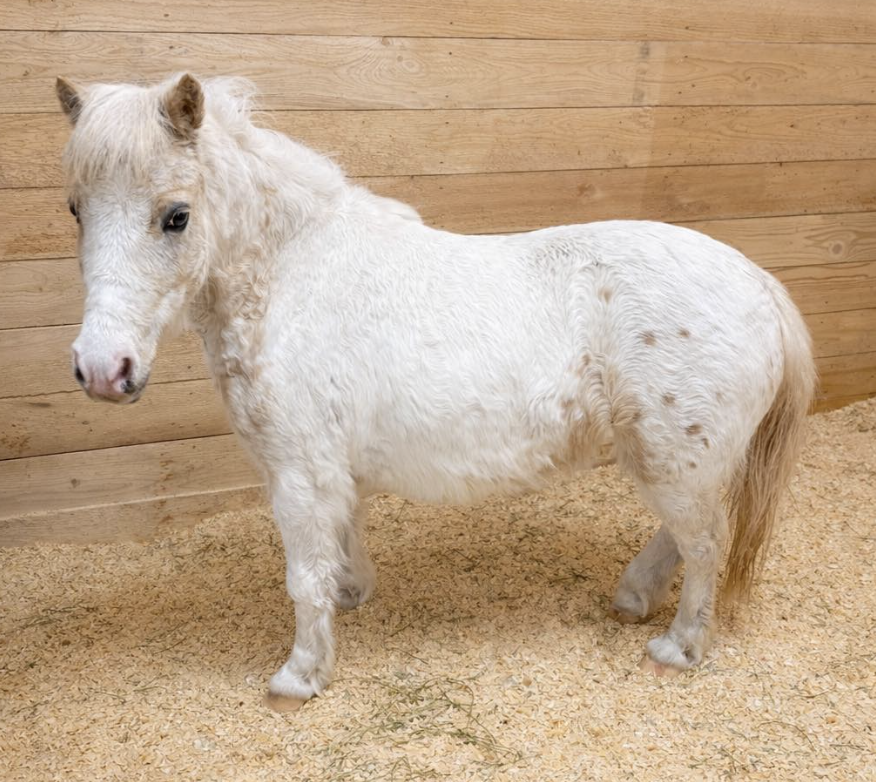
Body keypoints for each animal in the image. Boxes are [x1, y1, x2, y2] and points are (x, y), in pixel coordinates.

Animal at [56, 73, 816, 711]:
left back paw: (679, 645)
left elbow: (303, 577)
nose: (103, 368)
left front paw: (301, 676)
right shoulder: (331, 469)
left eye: (176, 216)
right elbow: (342, 541)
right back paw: (634, 597)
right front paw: (352, 595)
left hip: (673, 464)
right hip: (669, 463)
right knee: (684, 539)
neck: (293, 277)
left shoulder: (299, 473)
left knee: (706, 545)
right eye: (76, 210)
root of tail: (759, 284)